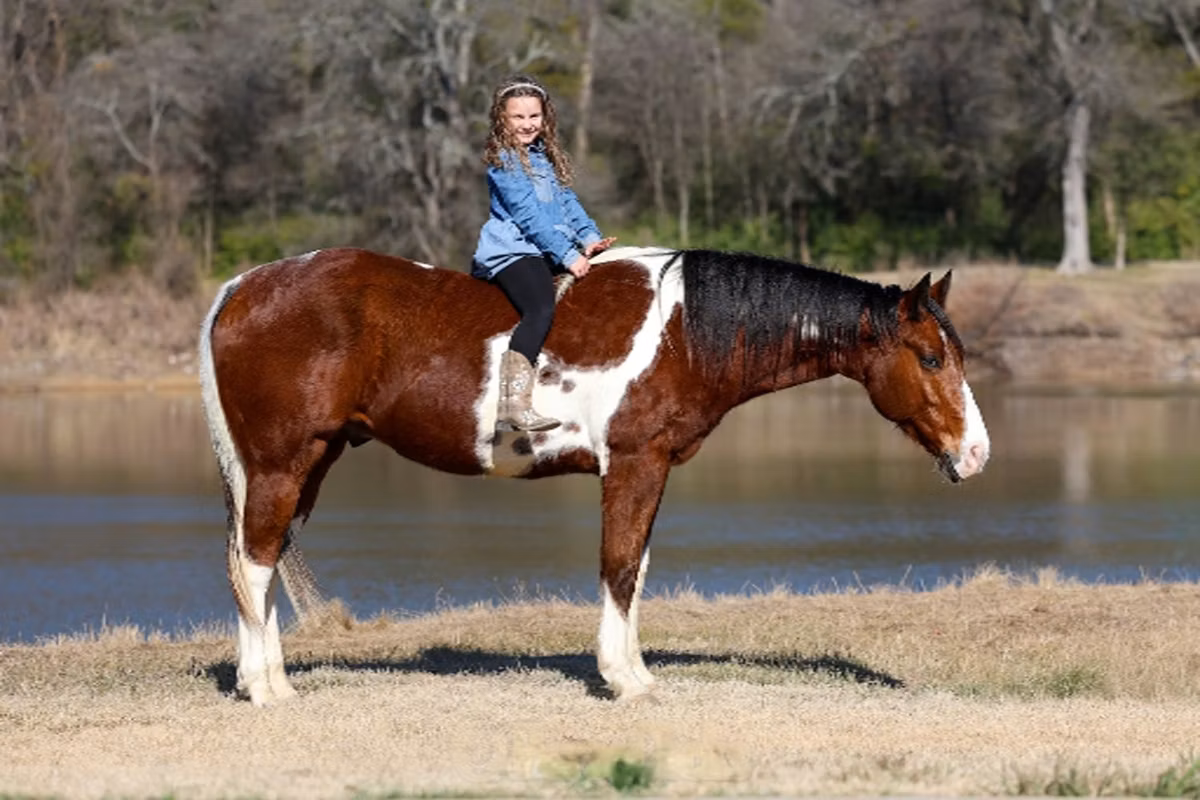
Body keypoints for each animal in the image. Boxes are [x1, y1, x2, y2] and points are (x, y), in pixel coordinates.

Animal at [198, 245, 990, 706]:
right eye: (930, 357)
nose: (978, 453)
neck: (684, 328)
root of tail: (242, 286)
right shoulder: (634, 463)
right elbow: (618, 565)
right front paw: (625, 679)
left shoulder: (652, 467)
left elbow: (635, 569)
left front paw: (631, 669)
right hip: (283, 461)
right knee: (255, 562)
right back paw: (268, 689)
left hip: (310, 459)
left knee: (258, 559)